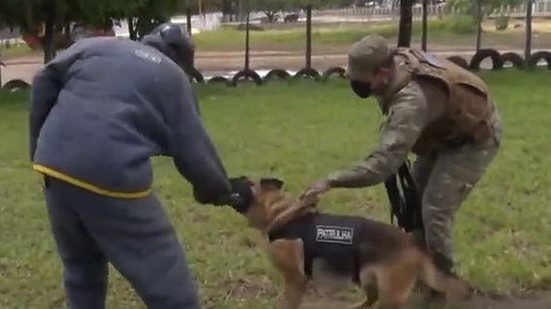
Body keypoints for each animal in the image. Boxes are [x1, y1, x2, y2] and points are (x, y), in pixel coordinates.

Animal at [231, 176, 472, 308]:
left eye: (244, 181)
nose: (231, 178)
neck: (282, 214)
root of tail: (410, 243)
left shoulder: (296, 280)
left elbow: (288, 303)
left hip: (389, 291)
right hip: (366, 275)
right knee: (371, 299)